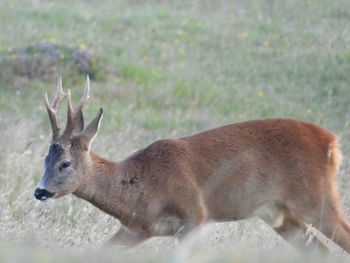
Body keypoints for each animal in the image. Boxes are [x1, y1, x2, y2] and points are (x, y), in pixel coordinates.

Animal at [34, 77, 350, 255]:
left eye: (65, 163)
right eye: (44, 159)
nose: (39, 191)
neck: (138, 189)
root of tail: (332, 142)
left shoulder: (195, 214)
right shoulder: (137, 229)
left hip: (316, 197)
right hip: (278, 213)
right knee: (320, 251)